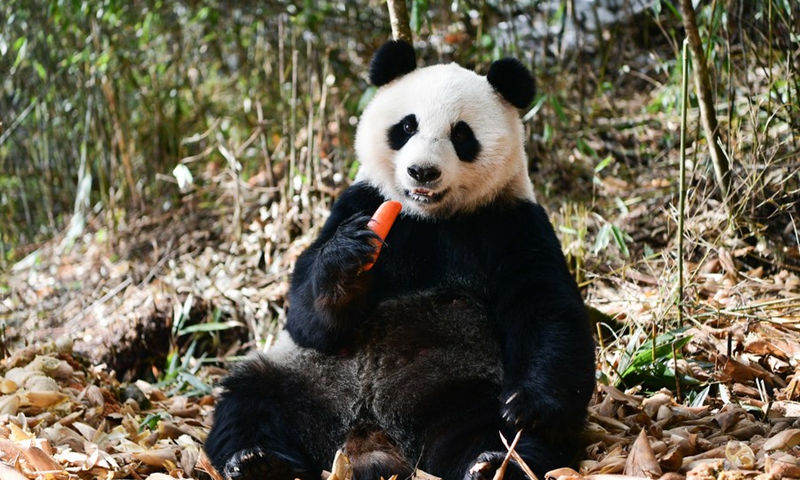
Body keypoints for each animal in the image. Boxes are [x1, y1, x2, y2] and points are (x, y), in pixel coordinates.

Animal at [204, 40, 596, 480]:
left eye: (461, 134)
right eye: (407, 127)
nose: (422, 171)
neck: (428, 217)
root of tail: (370, 436)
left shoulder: (510, 221)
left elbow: (545, 307)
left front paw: (530, 407)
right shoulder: (360, 202)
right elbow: (307, 319)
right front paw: (349, 261)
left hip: (455, 380)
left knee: (486, 423)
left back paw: (497, 462)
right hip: (306, 376)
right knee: (250, 398)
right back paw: (258, 460)